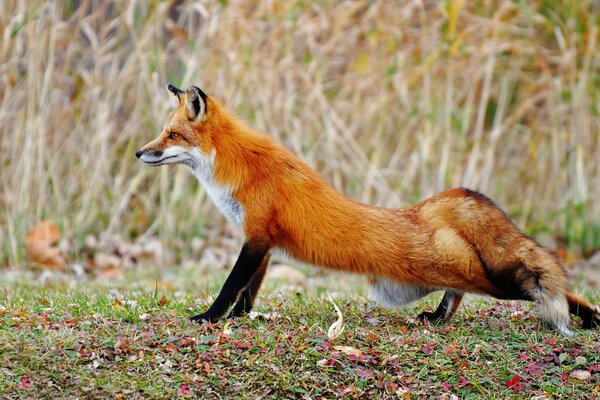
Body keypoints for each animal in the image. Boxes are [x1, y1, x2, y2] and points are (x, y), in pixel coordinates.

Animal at [137, 83, 600, 332]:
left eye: (172, 135)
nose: (140, 152)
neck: (239, 168)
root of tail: (425, 211)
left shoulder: (255, 237)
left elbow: (230, 285)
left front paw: (210, 318)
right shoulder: (264, 243)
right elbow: (248, 293)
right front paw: (241, 319)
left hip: (489, 280)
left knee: (537, 287)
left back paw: (590, 316)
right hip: (455, 274)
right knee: (460, 294)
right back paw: (438, 318)